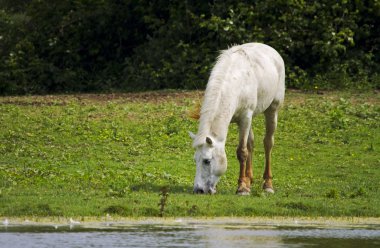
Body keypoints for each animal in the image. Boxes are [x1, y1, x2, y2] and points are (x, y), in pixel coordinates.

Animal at [189, 43, 284, 196]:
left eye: (207, 161)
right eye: (195, 160)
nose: (199, 190)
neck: (235, 82)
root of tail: (271, 49)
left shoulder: (245, 118)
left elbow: (242, 152)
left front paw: (242, 188)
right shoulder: (243, 120)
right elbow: (247, 147)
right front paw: (245, 184)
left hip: (272, 110)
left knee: (268, 143)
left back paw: (268, 185)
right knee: (251, 143)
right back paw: (249, 179)